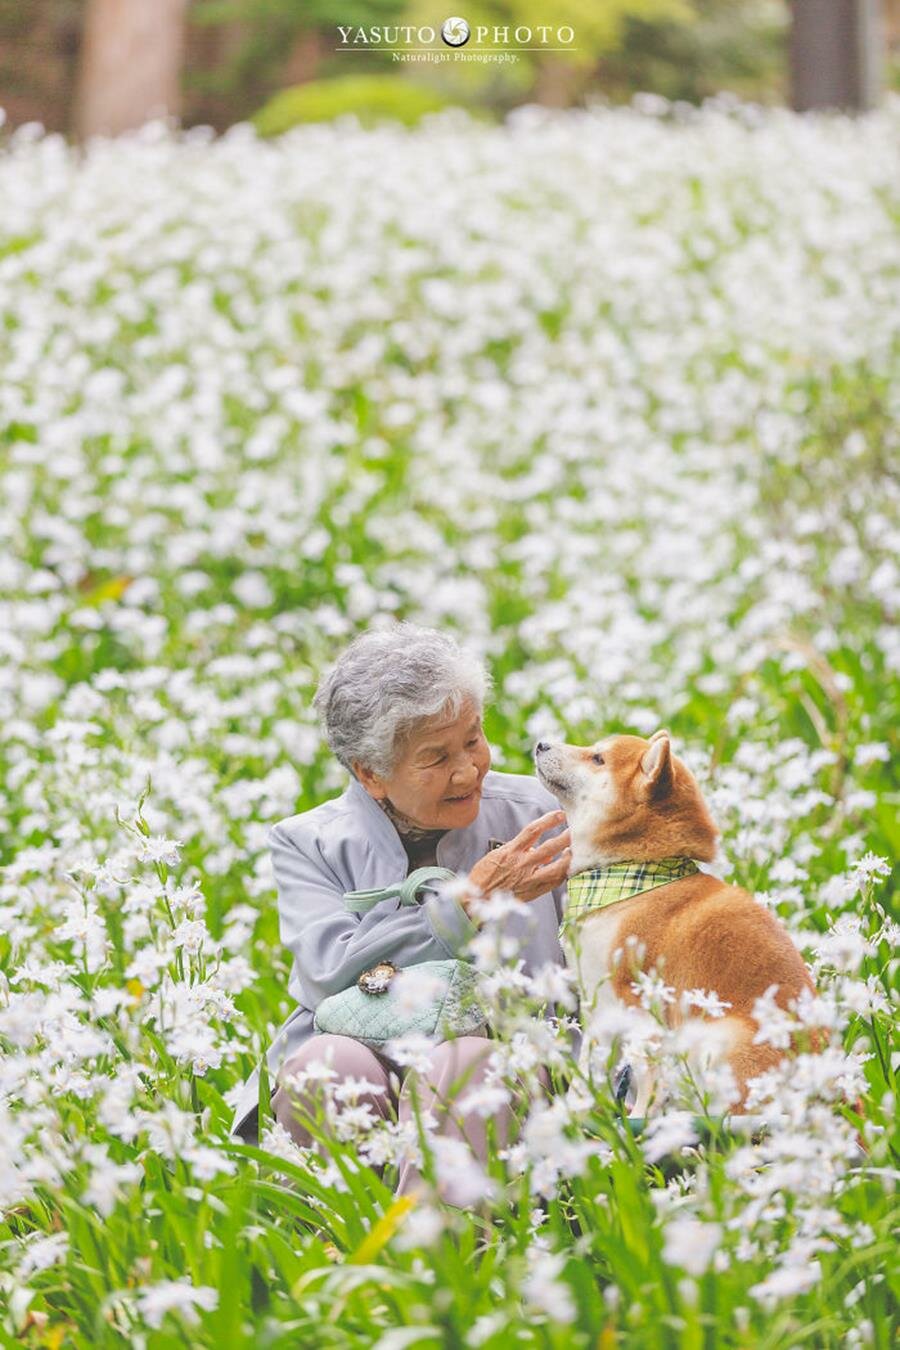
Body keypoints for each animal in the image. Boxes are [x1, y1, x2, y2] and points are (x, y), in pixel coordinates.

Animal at [531, 734, 820, 1112]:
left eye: (597, 759)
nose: (541, 744)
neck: (629, 874)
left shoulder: (640, 1006)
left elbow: (647, 1077)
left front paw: (639, 1121)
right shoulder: (600, 1009)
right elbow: (586, 1078)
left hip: (717, 1036)